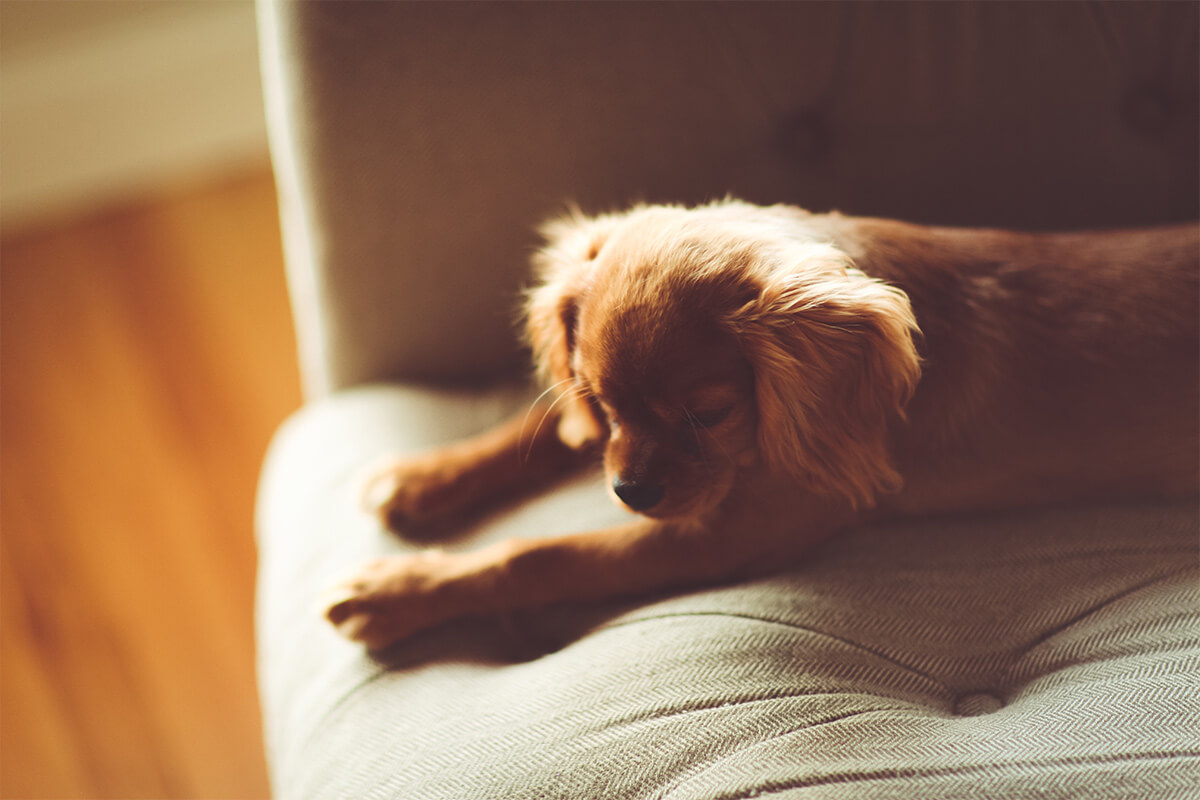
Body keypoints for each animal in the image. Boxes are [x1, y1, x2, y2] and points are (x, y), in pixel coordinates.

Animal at [324, 200, 1195, 652]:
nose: (630, 492)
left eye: (709, 414)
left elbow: (545, 554)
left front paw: (402, 590)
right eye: (599, 401)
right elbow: (532, 438)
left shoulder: (728, 531)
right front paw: (425, 475)